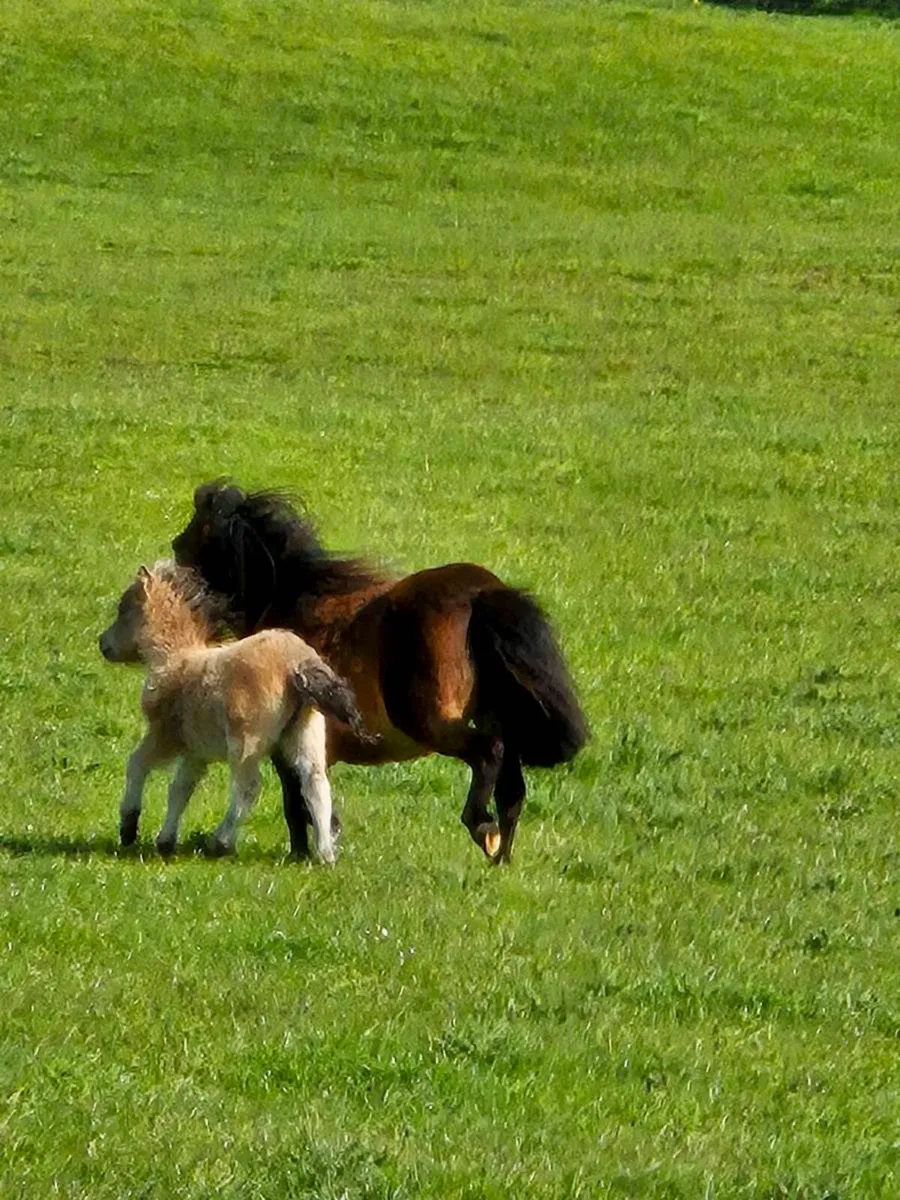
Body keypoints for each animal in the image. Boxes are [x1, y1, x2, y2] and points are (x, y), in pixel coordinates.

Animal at [98, 560, 372, 861]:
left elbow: (137, 764)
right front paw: (165, 841)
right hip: (305, 732)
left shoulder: (166, 737)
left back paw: (221, 842)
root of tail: (298, 662)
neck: (173, 658)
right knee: (315, 782)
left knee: (249, 787)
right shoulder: (196, 751)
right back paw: (325, 853)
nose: (103, 644)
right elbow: (180, 789)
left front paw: (128, 828)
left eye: (124, 609)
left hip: (246, 741)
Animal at [171, 481, 589, 863]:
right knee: (512, 791)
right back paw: (500, 857)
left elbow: (297, 802)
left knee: (489, 755)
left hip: (433, 723)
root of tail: (481, 595)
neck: (288, 600)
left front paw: (301, 855)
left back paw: (481, 827)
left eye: (190, 540)